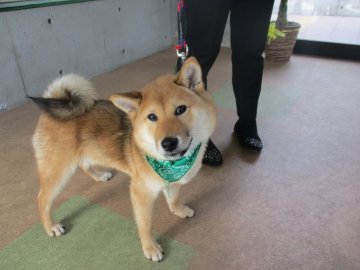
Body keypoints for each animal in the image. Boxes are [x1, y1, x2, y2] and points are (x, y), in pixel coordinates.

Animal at [30, 57, 217, 262]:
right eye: (152, 117)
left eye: (180, 109)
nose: (168, 143)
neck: (171, 163)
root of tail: (53, 105)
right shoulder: (140, 193)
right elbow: (145, 224)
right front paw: (150, 248)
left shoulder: (173, 181)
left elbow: (173, 199)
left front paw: (179, 211)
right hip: (58, 171)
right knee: (42, 199)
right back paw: (51, 226)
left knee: (84, 164)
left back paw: (99, 175)